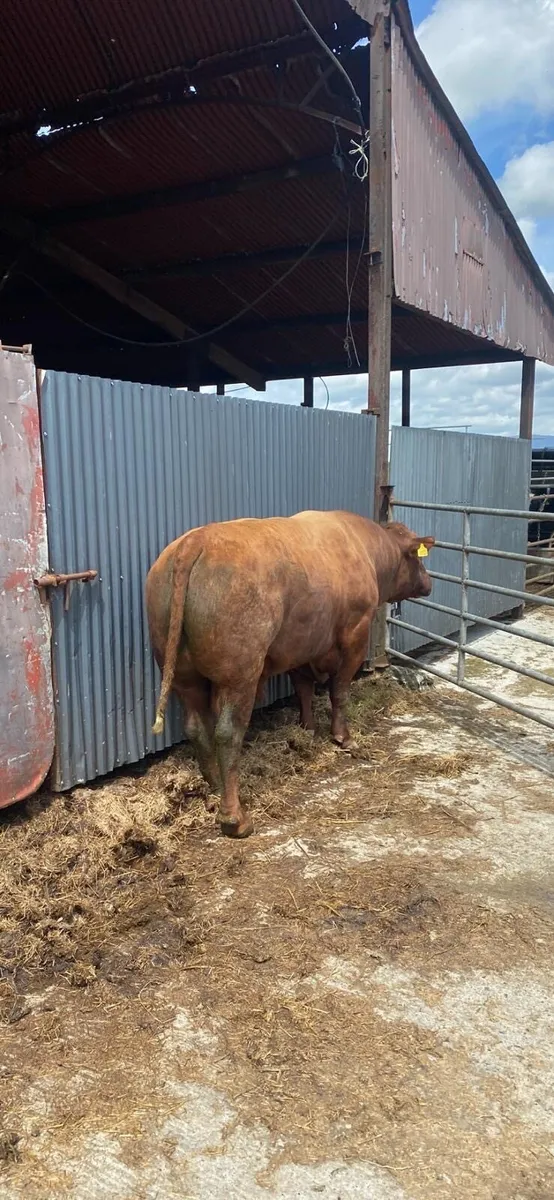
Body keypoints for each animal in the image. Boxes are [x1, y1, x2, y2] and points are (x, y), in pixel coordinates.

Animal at [146, 511, 435, 839]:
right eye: (418, 558)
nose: (429, 583)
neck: (363, 548)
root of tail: (195, 541)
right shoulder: (355, 635)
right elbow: (340, 691)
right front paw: (344, 738)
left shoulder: (301, 644)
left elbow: (303, 689)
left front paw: (307, 729)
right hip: (240, 674)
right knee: (227, 732)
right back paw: (235, 818)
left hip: (184, 675)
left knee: (197, 727)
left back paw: (215, 789)